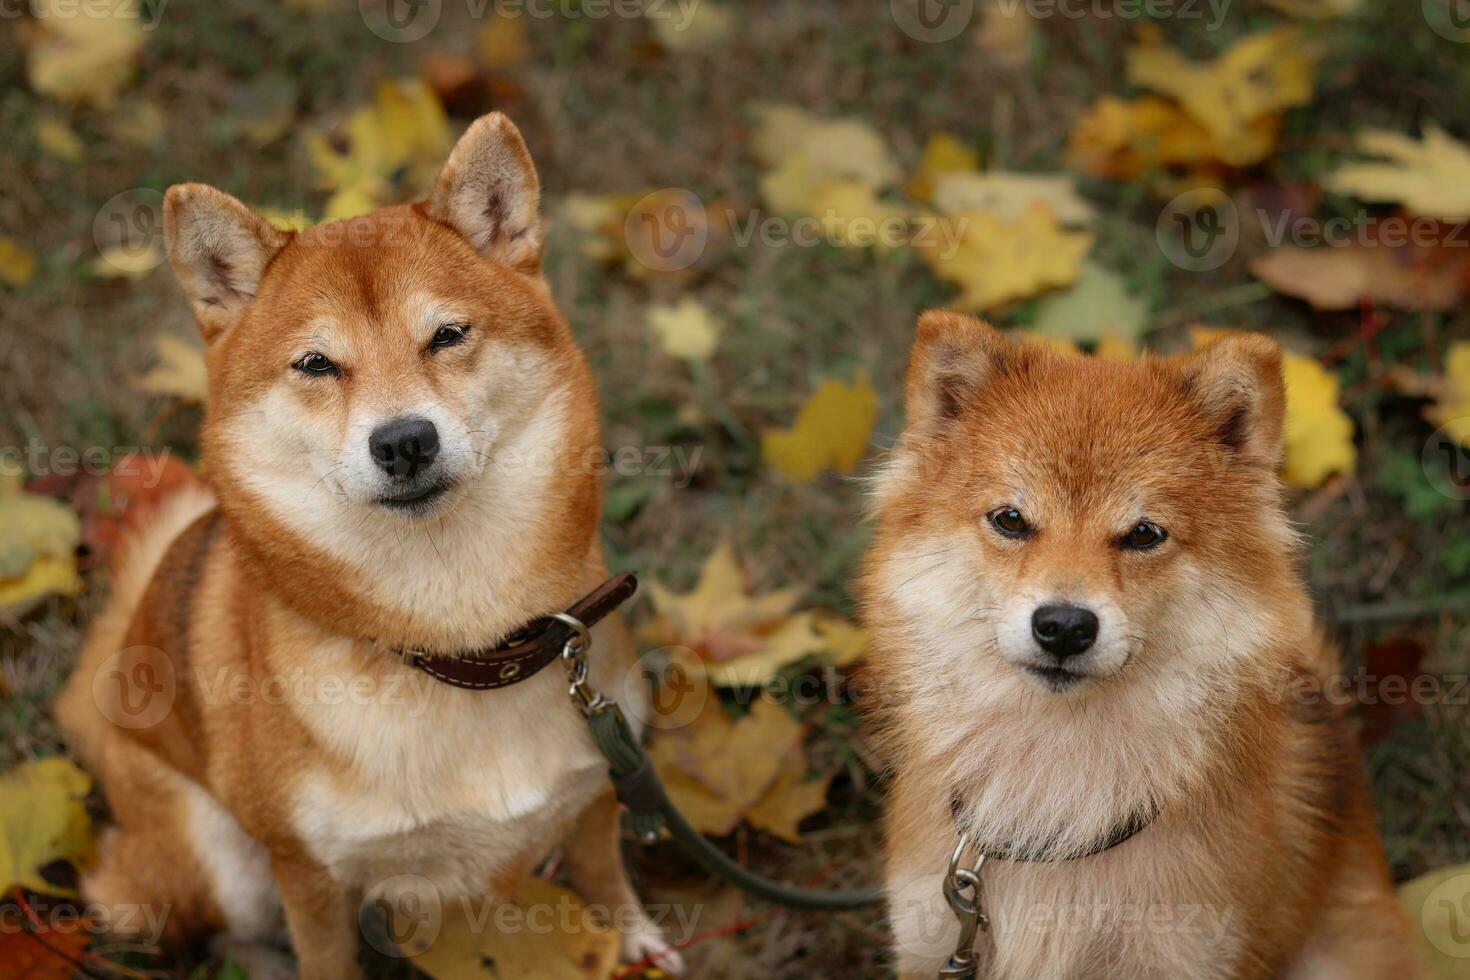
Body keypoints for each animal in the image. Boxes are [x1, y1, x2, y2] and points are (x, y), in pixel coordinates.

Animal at [54, 116, 679, 980]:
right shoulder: (308, 875)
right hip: (215, 858)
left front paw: (633, 938)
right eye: (317, 363)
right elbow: (327, 958)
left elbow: (602, 874)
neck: (457, 648)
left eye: (447, 335)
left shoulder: (597, 784)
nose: (405, 440)